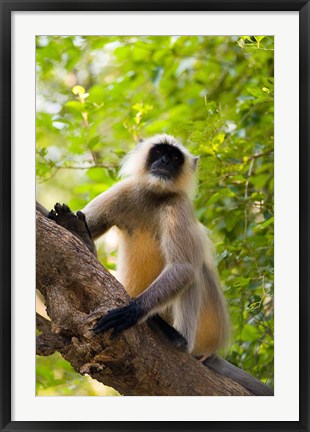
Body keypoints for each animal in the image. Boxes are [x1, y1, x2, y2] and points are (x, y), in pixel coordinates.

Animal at [47, 135, 230, 358]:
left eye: (175, 157)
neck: (154, 195)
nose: (165, 162)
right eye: (159, 152)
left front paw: (132, 311)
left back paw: (180, 340)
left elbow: (183, 267)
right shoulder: (124, 190)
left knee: (194, 271)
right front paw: (74, 228)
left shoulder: (179, 206)